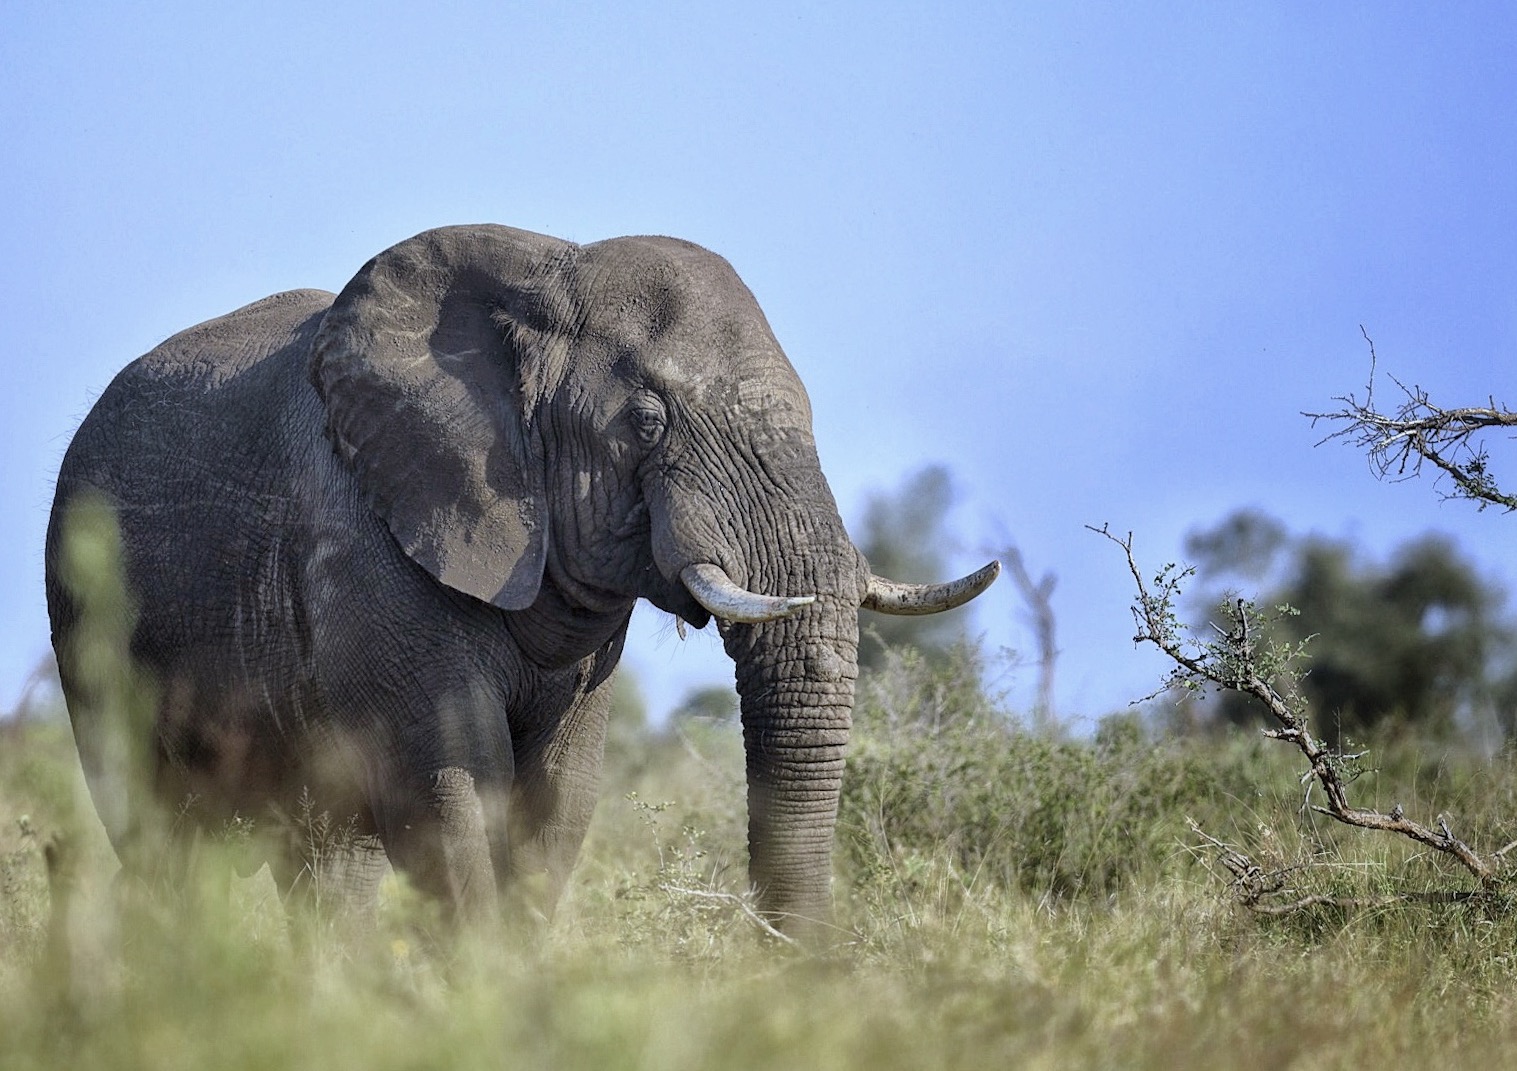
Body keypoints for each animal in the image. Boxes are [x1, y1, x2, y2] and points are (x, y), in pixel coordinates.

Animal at [45, 224, 997, 940]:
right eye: (645, 421)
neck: (539, 280)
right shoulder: (366, 540)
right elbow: (452, 795)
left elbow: (557, 805)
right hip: (89, 618)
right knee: (156, 829)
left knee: (328, 856)